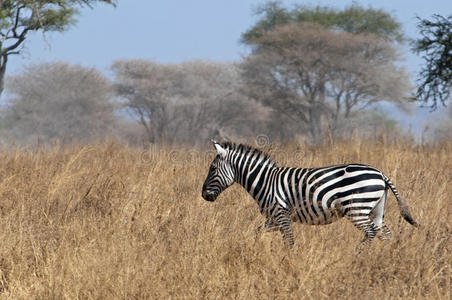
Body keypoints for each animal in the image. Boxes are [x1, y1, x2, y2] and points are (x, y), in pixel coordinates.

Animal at [202, 142, 420, 250]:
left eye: (212, 169)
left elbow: (289, 241)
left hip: (357, 208)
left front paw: (288, 262)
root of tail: (381, 174)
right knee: (385, 234)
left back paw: (358, 255)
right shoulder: (273, 219)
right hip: (375, 209)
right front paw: (255, 250)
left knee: (371, 232)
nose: (203, 195)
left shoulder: (281, 214)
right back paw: (385, 258)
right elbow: (257, 233)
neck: (264, 180)